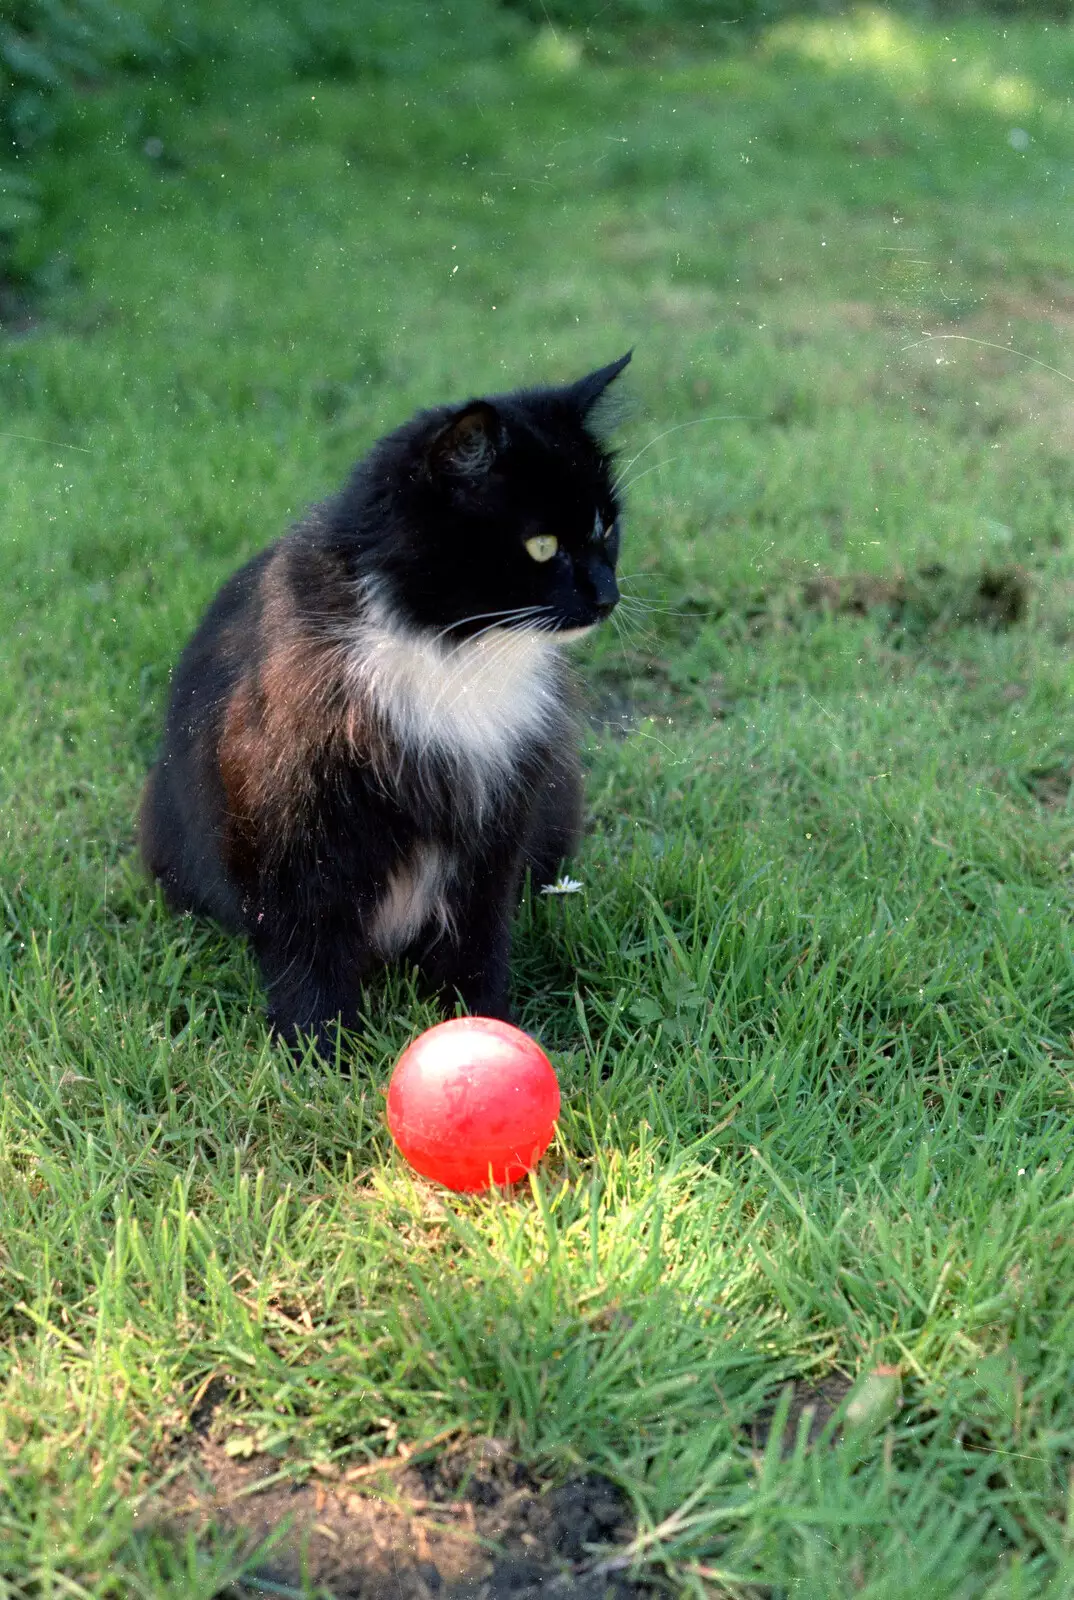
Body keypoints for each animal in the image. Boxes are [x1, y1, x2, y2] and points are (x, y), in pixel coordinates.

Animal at [140, 353, 630, 1049]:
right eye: (542, 547)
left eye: (607, 528)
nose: (609, 595)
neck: (448, 653)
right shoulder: (295, 818)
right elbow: (307, 947)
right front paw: (317, 1050)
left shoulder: (495, 817)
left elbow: (477, 940)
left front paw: (482, 1022)